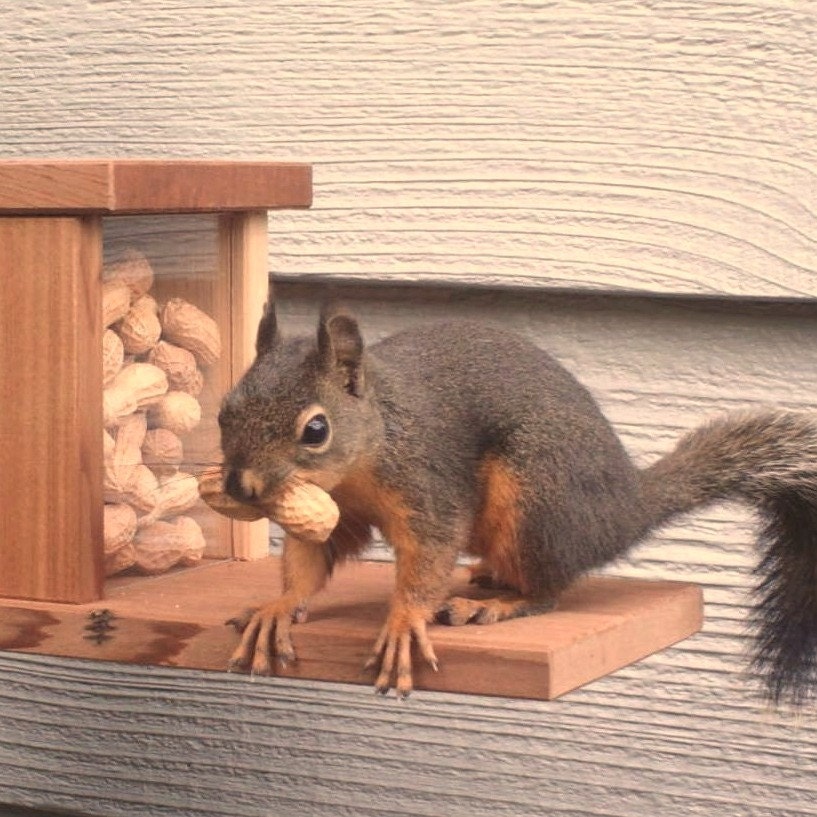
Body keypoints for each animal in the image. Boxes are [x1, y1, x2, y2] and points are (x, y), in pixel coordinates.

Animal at [218, 296, 817, 704]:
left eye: (315, 430)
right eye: (225, 410)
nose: (240, 487)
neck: (368, 449)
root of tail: (624, 511)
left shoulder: (429, 487)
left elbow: (429, 556)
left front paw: (404, 622)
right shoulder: (332, 512)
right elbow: (309, 562)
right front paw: (278, 608)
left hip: (536, 499)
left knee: (548, 591)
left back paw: (496, 603)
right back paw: (488, 577)